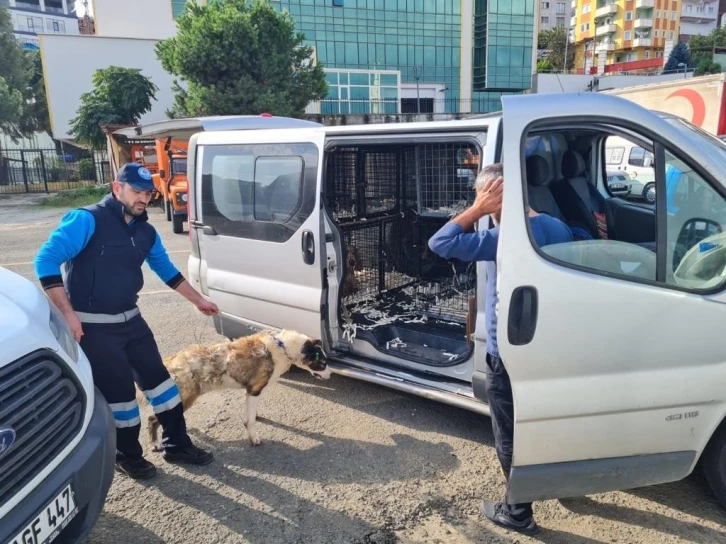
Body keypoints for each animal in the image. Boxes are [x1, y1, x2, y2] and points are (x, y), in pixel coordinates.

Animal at [136, 330, 330, 448]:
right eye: (322, 364)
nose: (330, 375)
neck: (283, 347)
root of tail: (171, 361)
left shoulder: (251, 392)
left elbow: (252, 414)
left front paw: (256, 416)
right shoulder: (255, 390)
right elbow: (249, 421)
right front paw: (253, 438)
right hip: (185, 398)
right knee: (152, 419)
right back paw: (154, 443)